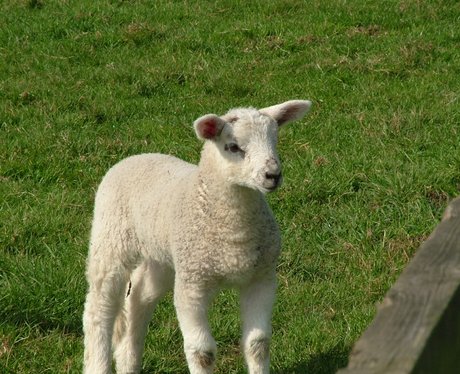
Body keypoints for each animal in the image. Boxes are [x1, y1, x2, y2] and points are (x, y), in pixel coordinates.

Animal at [82, 99, 312, 374]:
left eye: (274, 141)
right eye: (233, 147)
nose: (273, 175)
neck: (235, 235)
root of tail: (137, 156)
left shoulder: (261, 278)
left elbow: (258, 343)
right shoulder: (193, 284)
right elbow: (202, 353)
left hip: (164, 257)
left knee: (139, 296)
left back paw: (129, 361)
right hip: (111, 239)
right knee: (99, 308)